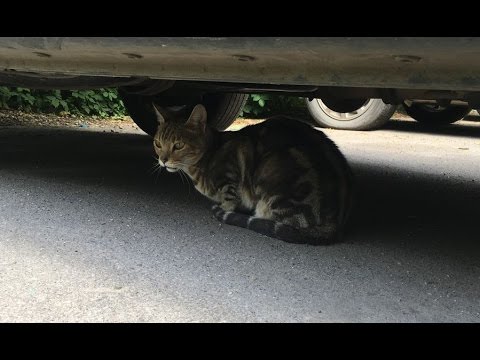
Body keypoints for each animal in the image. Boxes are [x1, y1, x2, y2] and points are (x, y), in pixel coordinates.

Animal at [152, 102, 354, 246]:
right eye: (158, 143)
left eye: (178, 145)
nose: (162, 160)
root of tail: (334, 224)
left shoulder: (230, 176)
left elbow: (229, 200)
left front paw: (225, 209)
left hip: (272, 174)